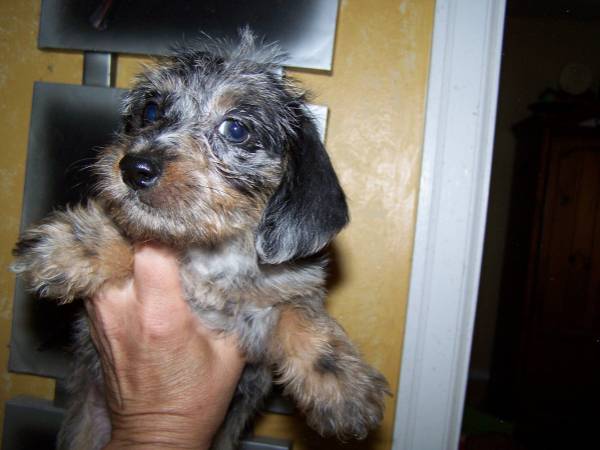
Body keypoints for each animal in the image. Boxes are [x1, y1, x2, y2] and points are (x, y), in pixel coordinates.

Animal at [14, 31, 392, 450]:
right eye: (151, 111)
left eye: (236, 129)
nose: (134, 168)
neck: (211, 254)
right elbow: (133, 230)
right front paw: (72, 246)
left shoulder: (274, 301)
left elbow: (300, 313)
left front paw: (343, 388)